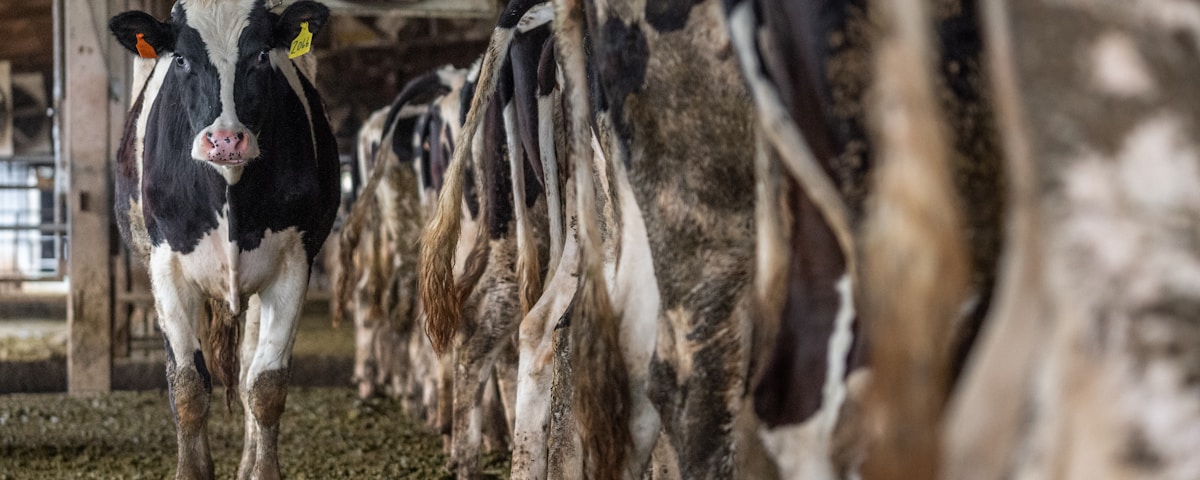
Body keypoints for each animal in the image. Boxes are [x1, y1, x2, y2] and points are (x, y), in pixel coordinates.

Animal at [108, 1, 338, 477]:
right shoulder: (168, 267)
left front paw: (262, 470)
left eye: (262, 55)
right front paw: (191, 469)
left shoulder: (293, 263)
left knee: (249, 365)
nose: (226, 140)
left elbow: (266, 386)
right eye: (181, 59)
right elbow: (188, 387)